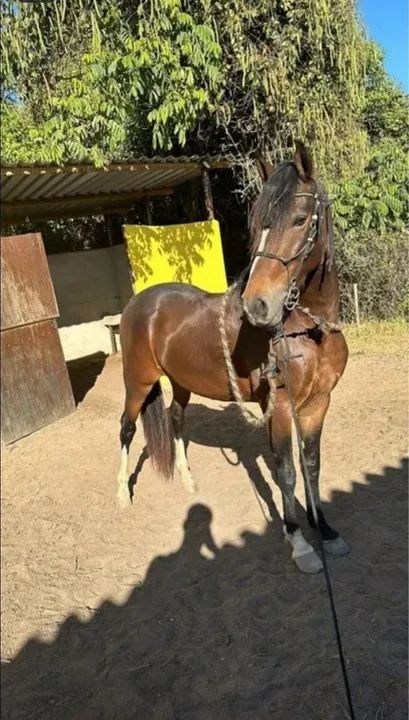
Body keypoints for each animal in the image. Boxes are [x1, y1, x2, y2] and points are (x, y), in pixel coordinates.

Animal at [116, 141, 349, 574]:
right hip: (138, 381)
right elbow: (286, 473)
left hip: (181, 382)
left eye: (300, 219)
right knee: (126, 428)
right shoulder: (279, 407)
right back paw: (122, 493)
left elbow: (311, 466)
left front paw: (325, 530)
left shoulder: (317, 404)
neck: (308, 331)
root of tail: (141, 302)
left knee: (175, 419)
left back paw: (188, 481)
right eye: (258, 223)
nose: (257, 304)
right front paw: (300, 544)